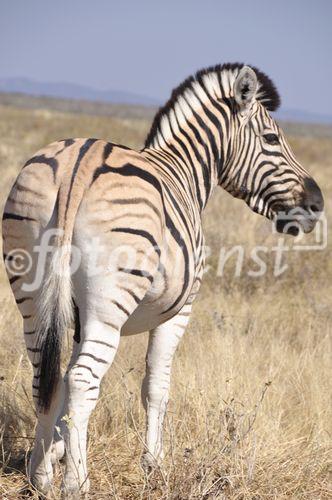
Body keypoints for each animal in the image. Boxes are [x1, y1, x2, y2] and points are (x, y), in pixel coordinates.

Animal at [2, 63, 322, 496]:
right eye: (272, 138)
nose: (317, 204)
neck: (183, 171)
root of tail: (77, 165)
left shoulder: (77, 319)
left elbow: (63, 381)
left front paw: (55, 450)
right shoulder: (180, 310)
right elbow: (156, 385)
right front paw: (153, 464)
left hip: (33, 293)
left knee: (45, 376)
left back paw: (41, 478)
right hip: (111, 300)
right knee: (84, 379)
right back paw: (77, 482)